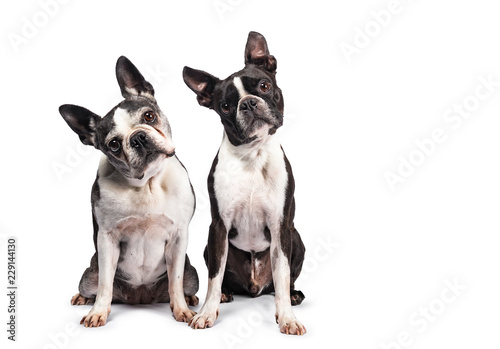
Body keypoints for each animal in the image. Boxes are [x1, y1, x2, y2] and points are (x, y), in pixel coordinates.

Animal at [59, 56, 198, 326]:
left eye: (149, 116)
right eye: (114, 144)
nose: (138, 138)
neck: (146, 185)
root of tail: (140, 299)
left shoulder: (179, 236)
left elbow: (175, 282)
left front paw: (181, 310)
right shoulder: (107, 239)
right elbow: (105, 283)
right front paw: (98, 312)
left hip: (193, 275)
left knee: (183, 283)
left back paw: (190, 299)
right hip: (88, 275)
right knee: (93, 284)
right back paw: (83, 299)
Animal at [184, 31, 306, 334]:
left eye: (264, 85)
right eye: (225, 106)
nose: (249, 103)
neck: (253, 155)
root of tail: (254, 288)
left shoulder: (281, 226)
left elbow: (283, 274)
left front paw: (287, 318)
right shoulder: (218, 227)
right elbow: (214, 277)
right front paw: (207, 313)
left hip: (296, 238)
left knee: (284, 281)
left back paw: (294, 295)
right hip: (209, 246)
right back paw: (227, 293)